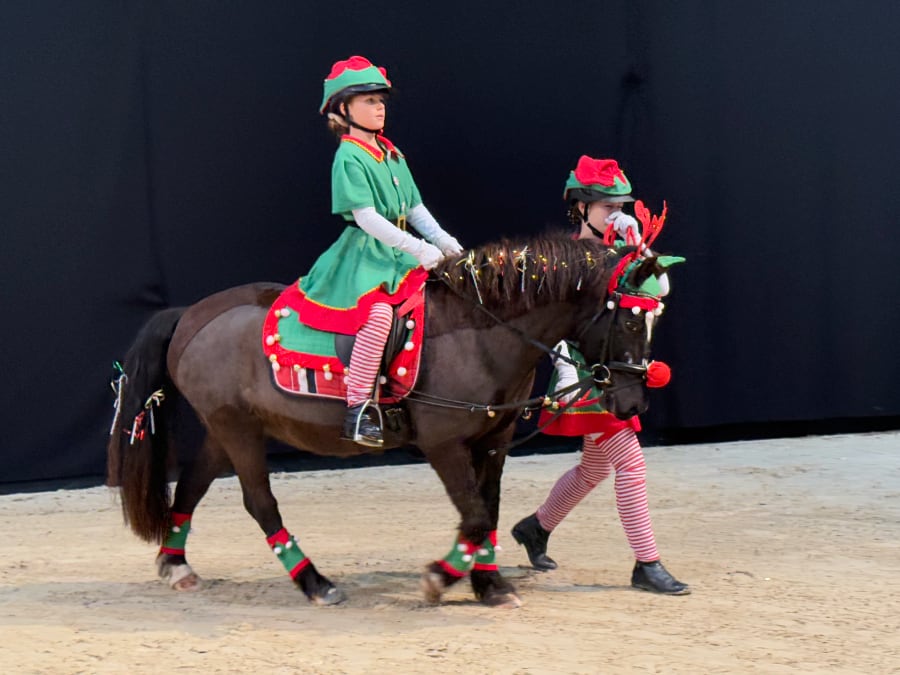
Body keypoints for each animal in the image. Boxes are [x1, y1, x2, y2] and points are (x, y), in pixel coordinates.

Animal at [107, 235, 668, 608]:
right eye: (628, 319)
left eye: (654, 319)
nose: (634, 405)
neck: (479, 336)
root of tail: (192, 315)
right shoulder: (444, 444)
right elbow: (475, 517)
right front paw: (441, 578)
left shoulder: (493, 441)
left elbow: (484, 513)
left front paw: (487, 583)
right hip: (238, 430)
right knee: (259, 503)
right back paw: (315, 582)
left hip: (224, 429)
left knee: (191, 487)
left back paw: (176, 565)